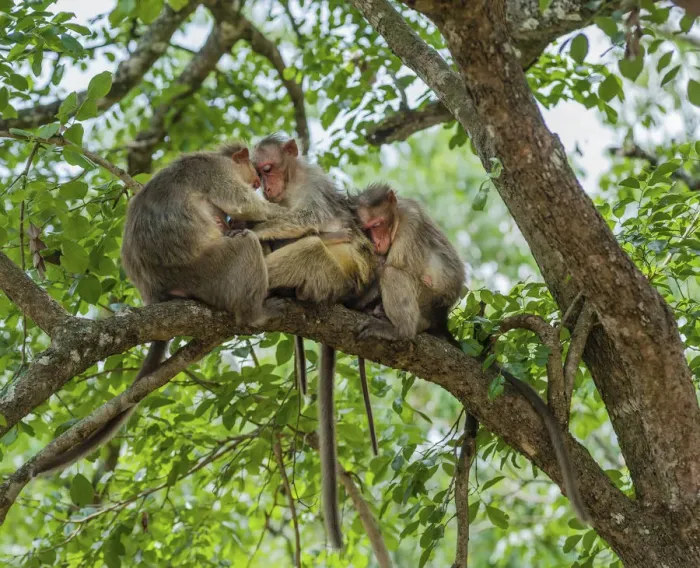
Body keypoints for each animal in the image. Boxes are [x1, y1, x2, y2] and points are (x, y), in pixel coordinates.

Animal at [33, 143, 284, 476]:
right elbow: (244, 206)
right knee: (244, 243)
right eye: (256, 173)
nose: (258, 183)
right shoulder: (213, 172)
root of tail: (156, 294)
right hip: (210, 272)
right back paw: (255, 312)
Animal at [251, 134, 376, 549]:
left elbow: (307, 220)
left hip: (336, 276)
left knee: (310, 247)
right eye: (258, 172)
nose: (265, 188)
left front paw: (249, 226)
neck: (291, 184)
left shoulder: (312, 186)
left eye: (268, 169)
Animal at [350, 183, 590, 524]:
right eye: (369, 228)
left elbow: (392, 265)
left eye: (379, 224)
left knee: (394, 273)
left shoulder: (409, 224)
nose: (379, 240)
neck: (395, 221)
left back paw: (399, 329)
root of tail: (441, 319)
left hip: (425, 303)